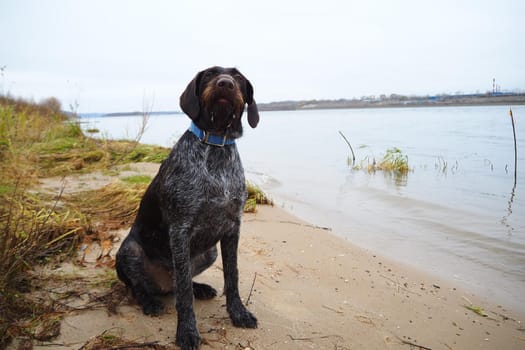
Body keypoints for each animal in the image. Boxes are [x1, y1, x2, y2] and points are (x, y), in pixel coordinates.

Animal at [116, 66, 260, 350]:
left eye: (237, 77)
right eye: (210, 75)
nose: (225, 83)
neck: (215, 145)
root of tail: (162, 285)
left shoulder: (232, 228)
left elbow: (232, 276)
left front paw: (238, 313)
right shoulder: (180, 230)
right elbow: (183, 294)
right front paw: (187, 331)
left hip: (210, 252)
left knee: (180, 282)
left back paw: (199, 288)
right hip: (130, 250)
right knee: (142, 287)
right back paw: (149, 301)